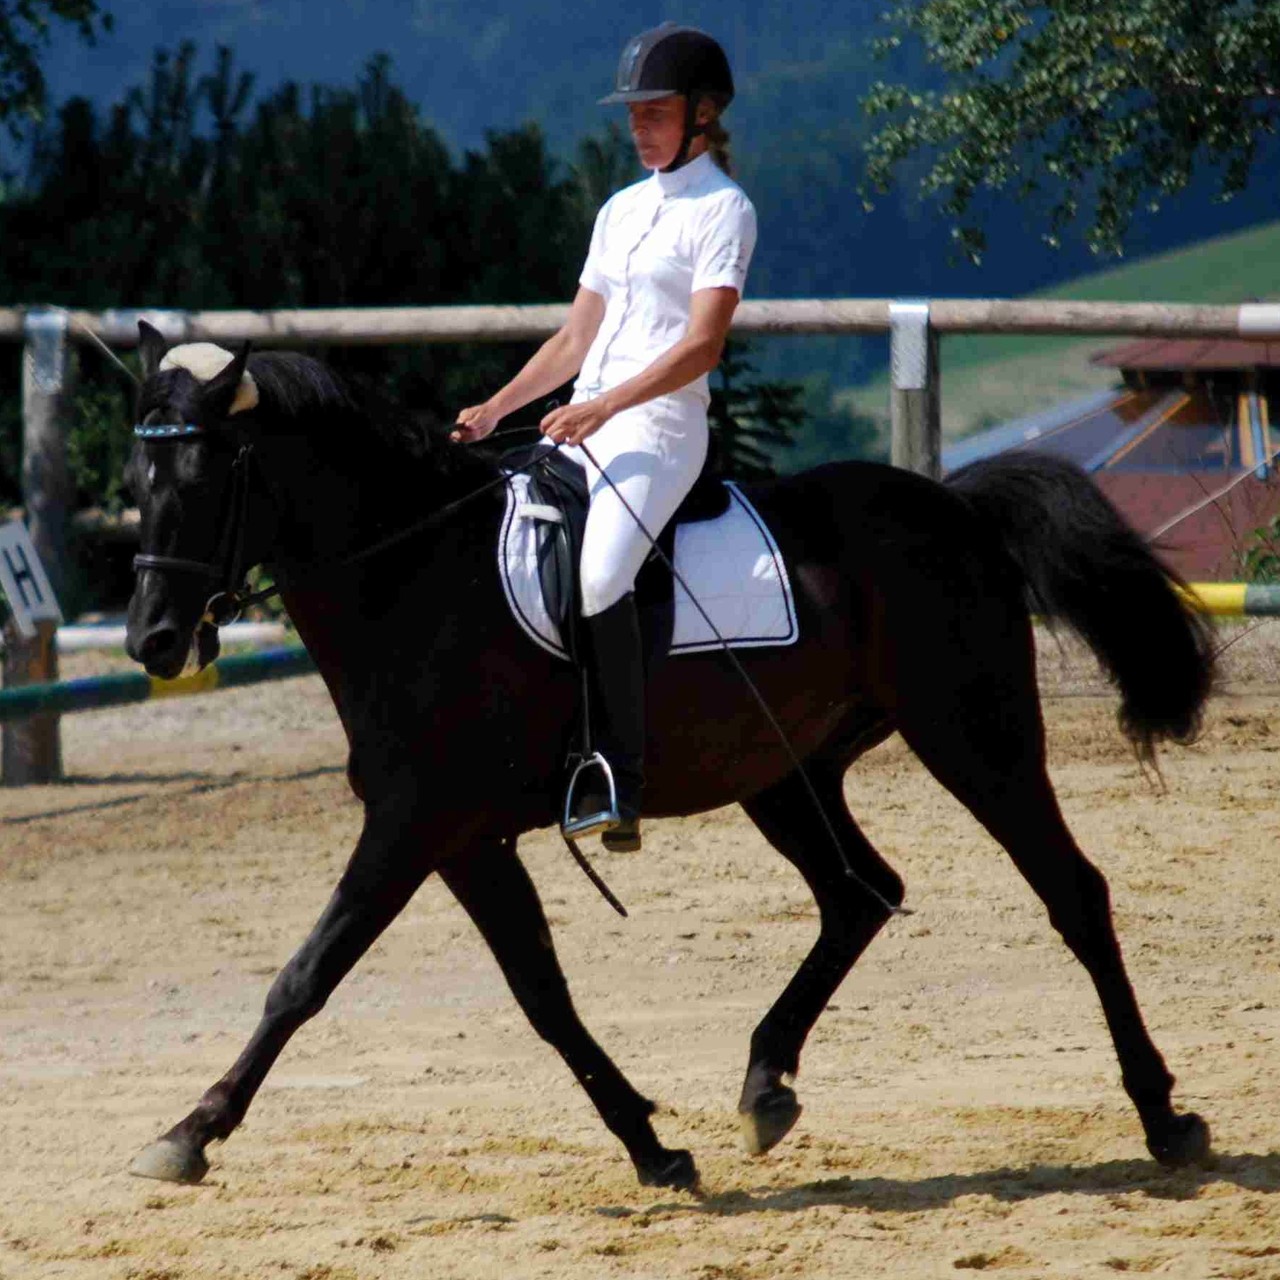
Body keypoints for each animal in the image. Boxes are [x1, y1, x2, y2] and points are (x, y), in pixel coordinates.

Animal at [124, 327, 1213, 1187]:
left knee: (1070, 892)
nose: (152, 641)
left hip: (973, 735)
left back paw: (1163, 1116)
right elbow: (543, 996)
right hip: (786, 773)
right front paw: (651, 1146)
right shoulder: (464, 839)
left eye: (205, 478)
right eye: (138, 487)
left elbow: (306, 975)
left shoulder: (412, 823)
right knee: (859, 892)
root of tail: (956, 507)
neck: (414, 575)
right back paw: (765, 1084)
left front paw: (189, 1133)